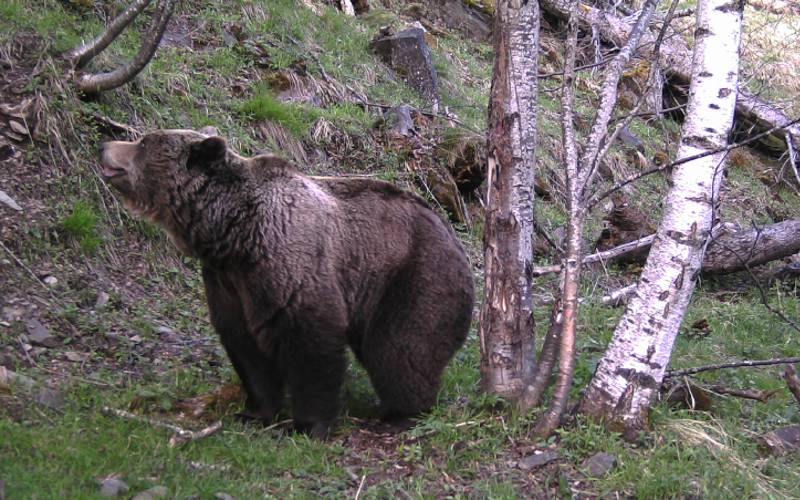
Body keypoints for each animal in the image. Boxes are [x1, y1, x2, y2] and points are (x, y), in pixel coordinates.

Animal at [100, 128, 476, 438]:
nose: (105, 146)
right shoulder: (229, 282)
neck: (235, 233)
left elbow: (311, 340)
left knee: (400, 348)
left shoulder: (289, 263)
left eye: (143, 142)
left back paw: (401, 414)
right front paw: (254, 412)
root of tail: (453, 233)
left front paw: (309, 424)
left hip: (414, 275)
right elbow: (245, 346)